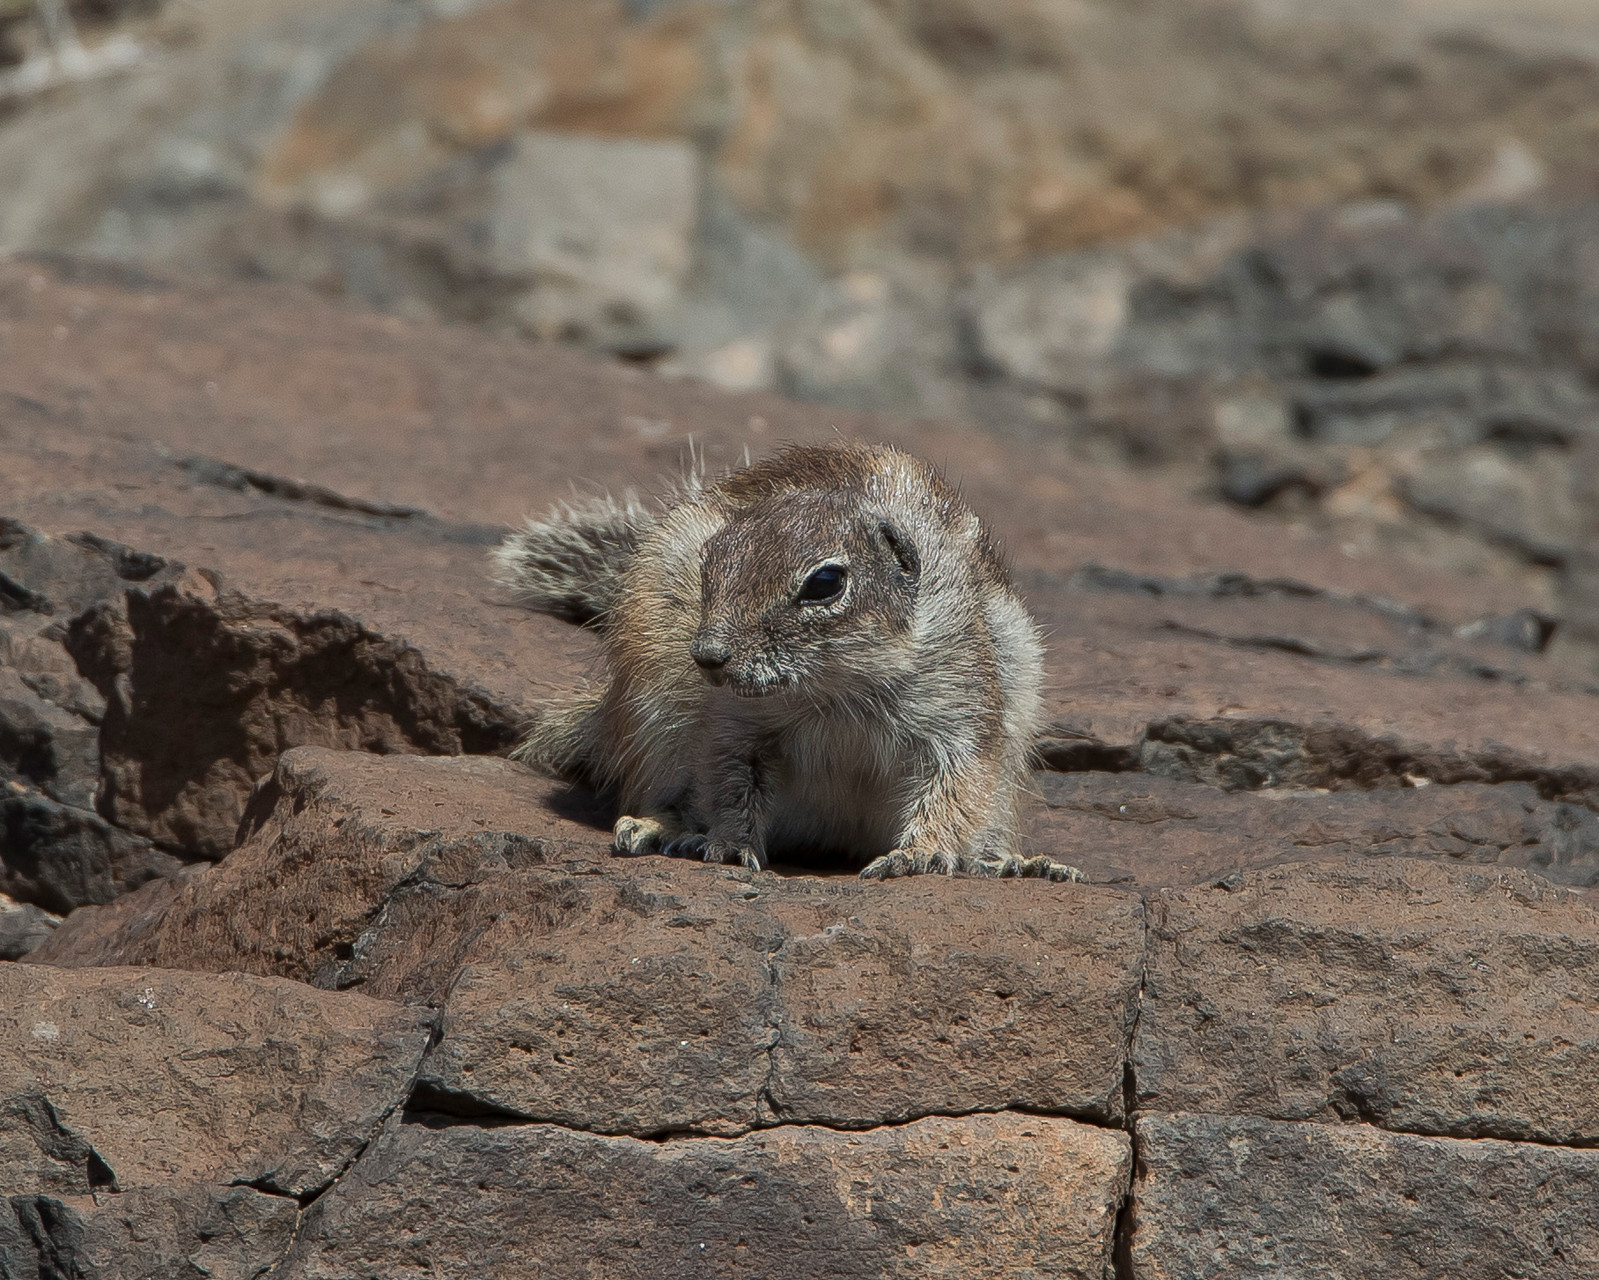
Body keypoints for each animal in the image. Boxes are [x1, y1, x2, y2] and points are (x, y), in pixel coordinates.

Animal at [492, 441, 1080, 882]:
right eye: (709, 564)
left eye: (825, 582)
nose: (708, 656)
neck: (837, 689)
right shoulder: (732, 725)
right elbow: (728, 782)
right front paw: (728, 844)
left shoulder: (961, 705)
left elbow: (957, 788)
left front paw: (922, 853)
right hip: (648, 708)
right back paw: (661, 826)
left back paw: (1011, 862)